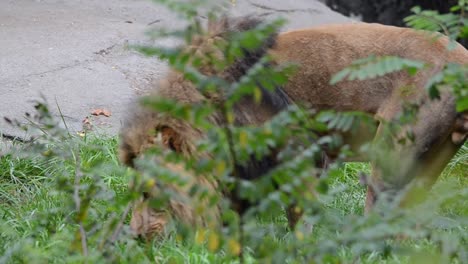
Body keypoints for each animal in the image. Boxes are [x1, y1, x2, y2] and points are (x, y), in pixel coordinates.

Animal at [120, 16, 468, 239]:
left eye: (151, 194)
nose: (135, 237)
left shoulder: (303, 159)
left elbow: (299, 219)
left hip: (390, 159)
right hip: (428, 162)